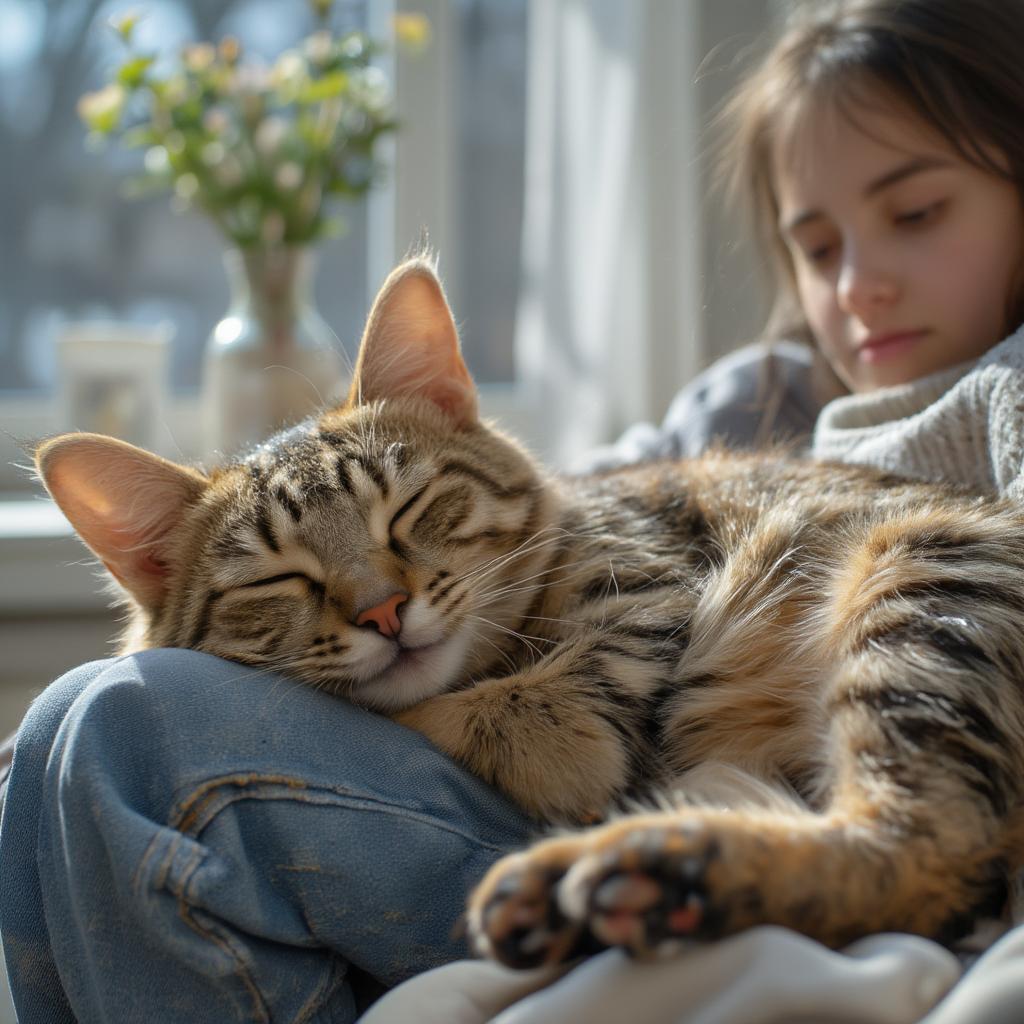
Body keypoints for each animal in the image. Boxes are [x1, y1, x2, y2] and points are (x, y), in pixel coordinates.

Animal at [37, 256, 1024, 966]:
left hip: (926, 585)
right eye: (274, 579)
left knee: (927, 845)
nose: (383, 612)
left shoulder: (640, 590)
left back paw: (638, 868)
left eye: (406, 509)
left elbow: (523, 708)